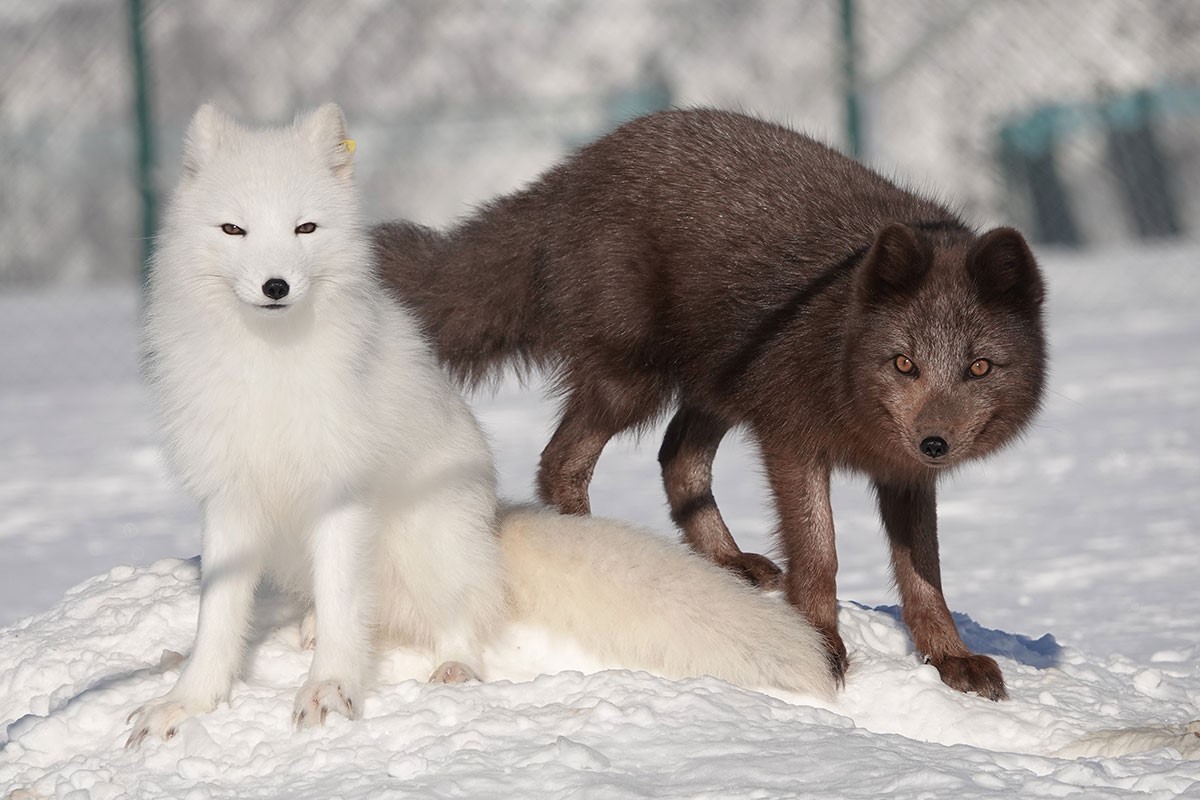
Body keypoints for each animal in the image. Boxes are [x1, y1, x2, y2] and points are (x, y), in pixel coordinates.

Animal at [124, 103, 835, 748]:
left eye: (305, 227)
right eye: (233, 229)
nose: (276, 286)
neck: (269, 370)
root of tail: (492, 524)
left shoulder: (342, 491)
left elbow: (346, 605)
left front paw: (330, 691)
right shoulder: (229, 497)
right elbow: (218, 619)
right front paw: (186, 702)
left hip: (427, 532)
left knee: (462, 611)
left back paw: (452, 667)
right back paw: (308, 627)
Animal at [379, 107, 1046, 700]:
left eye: (978, 368)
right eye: (904, 363)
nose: (936, 443)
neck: (840, 340)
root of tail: (571, 172)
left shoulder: (903, 473)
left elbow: (924, 574)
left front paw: (951, 658)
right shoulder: (792, 437)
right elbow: (820, 554)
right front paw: (822, 646)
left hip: (716, 384)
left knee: (676, 459)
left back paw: (725, 563)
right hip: (634, 382)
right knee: (563, 461)